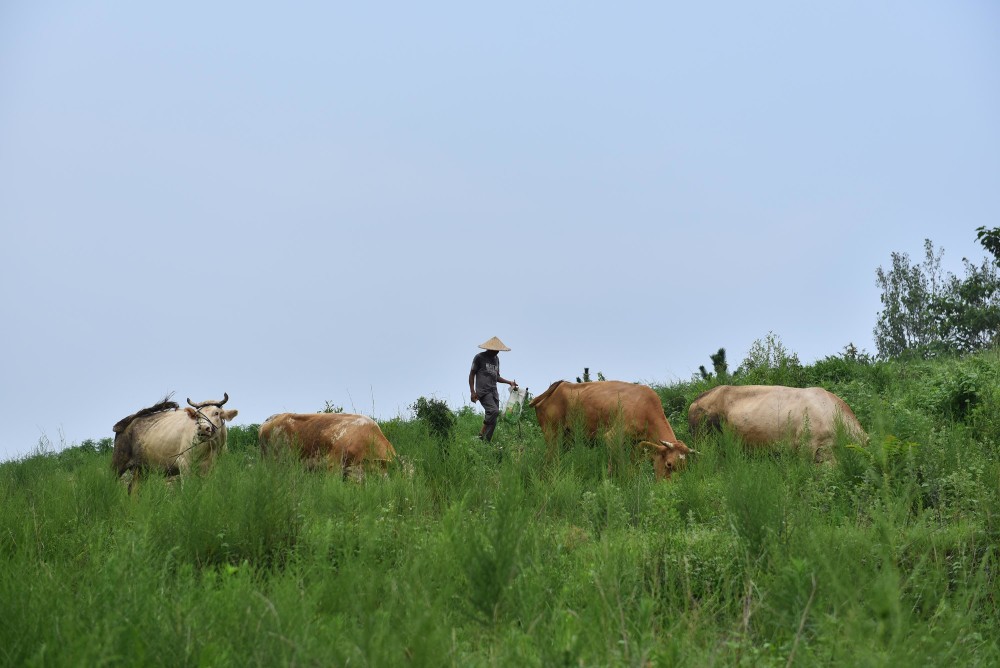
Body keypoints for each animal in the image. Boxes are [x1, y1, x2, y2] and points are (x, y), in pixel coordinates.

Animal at [528, 380, 692, 480]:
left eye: (684, 467)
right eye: (669, 464)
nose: (668, 488)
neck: (646, 409)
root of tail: (560, 384)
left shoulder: (634, 444)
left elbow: (632, 466)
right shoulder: (612, 437)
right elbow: (617, 465)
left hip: (567, 439)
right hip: (553, 434)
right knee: (549, 460)